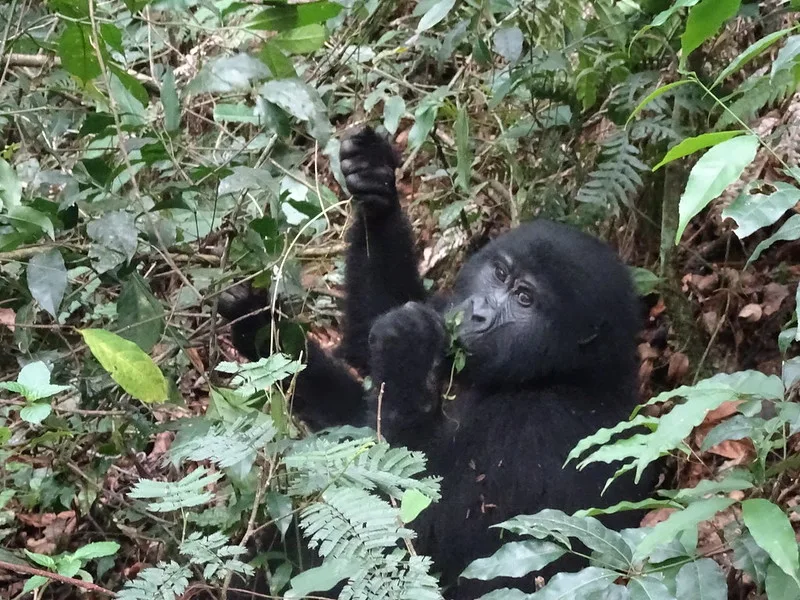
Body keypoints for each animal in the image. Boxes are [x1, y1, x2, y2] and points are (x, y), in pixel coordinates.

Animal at [219, 125, 648, 596]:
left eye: (524, 299)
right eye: (500, 274)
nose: (477, 312)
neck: (567, 374)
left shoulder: (546, 429)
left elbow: (431, 534)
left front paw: (406, 347)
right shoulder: (445, 309)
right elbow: (363, 366)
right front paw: (375, 189)